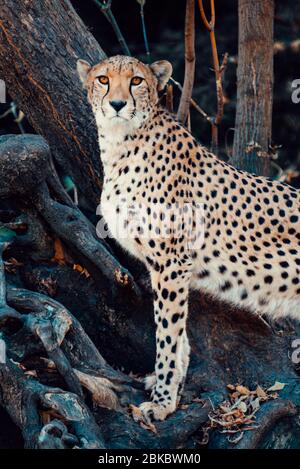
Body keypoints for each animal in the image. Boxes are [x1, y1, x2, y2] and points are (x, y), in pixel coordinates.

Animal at [77, 54, 300, 420]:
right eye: (103, 80)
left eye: (136, 81)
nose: (117, 104)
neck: (121, 143)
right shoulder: (166, 267)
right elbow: (177, 333)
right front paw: (168, 385)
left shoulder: (172, 263)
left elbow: (167, 333)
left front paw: (164, 401)